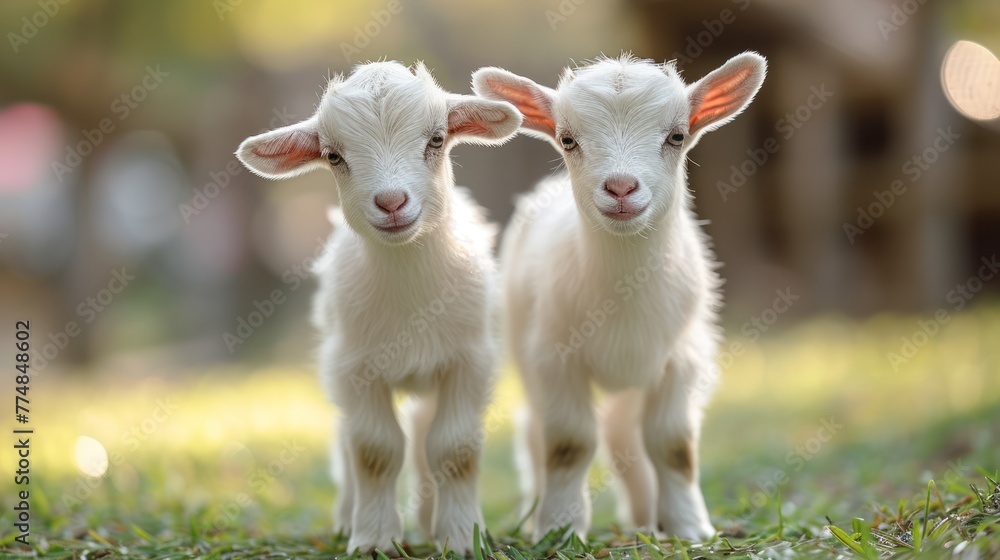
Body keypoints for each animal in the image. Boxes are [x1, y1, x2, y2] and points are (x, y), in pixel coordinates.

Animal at [235, 60, 524, 552]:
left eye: (436, 139)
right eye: (333, 156)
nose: (392, 203)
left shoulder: (470, 360)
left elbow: (455, 448)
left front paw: (462, 538)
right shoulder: (354, 367)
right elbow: (373, 450)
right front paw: (373, 540)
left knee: (427, 435)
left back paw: (429, 521)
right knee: (348, 442)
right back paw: (348, 519)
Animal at [472, 54, 768, 540]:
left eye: (677, 135)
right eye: (567, 139)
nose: (621, 188)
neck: (623, 295)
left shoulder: (683, 358)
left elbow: (672, 444)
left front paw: (690, 528)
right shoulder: (554, 356)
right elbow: (569, 443)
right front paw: (558, 528)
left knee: (625, 434)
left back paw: (649, 518)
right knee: (538, 431)